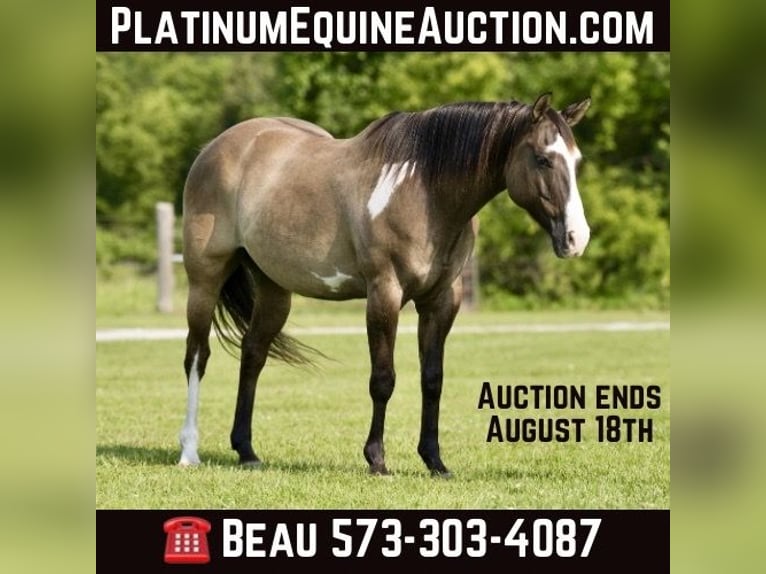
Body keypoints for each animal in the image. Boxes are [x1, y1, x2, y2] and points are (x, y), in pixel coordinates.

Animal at [178, 93, 591, 477]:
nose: (577, 238)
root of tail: (214, 148)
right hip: (204, 280)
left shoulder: (441, 301)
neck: (425, 193)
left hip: (274, 288)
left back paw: (246, 451)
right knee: (197, 356)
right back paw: (189, 452)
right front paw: (376, 459)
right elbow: (383, 379)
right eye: (543, 159)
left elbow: (432, 379)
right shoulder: (384, 294)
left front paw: (434, 460)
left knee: (253, 355)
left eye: (576, 161)